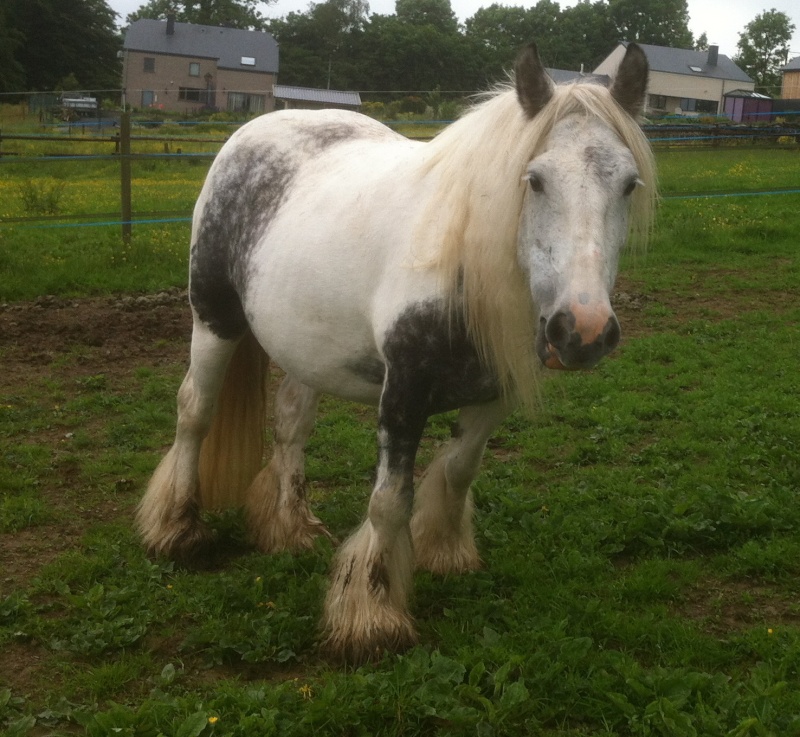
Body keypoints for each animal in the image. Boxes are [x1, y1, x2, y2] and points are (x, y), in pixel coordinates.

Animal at [138, 40, 656, 660]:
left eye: (628, 184)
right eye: (534, 180)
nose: (582, 330)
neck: (461, 266)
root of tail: (251, 131)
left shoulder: (492, 394)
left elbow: (457, 470)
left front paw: (445, 552)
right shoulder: (402, 395)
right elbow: (389, 502)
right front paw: (372, 617)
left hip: (307, 347)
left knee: (289, 424)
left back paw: (290, 528)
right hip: (214, 318)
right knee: (194, 411)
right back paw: (176, 530)